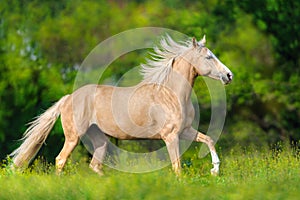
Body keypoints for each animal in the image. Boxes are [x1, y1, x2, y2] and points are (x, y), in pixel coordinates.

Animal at [10, 35, 232, 176]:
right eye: (208, 56)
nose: (229, 75)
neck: (172, 95)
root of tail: (68, 98)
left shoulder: (185, 131)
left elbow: (209, 140)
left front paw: (215, 170)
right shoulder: (171, 136)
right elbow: (177, 167)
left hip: (99, 139)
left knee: (94, 166)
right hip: (74, 136)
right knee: (60, 160)